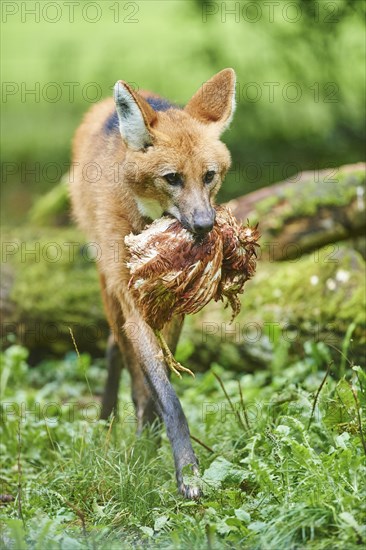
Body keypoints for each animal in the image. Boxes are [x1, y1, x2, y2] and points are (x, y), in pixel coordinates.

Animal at [70, 69, 237, 500]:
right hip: (107, 284)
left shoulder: (172, 309)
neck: (149, 221)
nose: (204, 226)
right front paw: (185, 471)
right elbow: (164, 394)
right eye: (171, 178)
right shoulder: (133, 305)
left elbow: (161, 380)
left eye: (208, 176)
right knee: (117, 350)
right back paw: (106, 423)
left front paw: (153, 445)